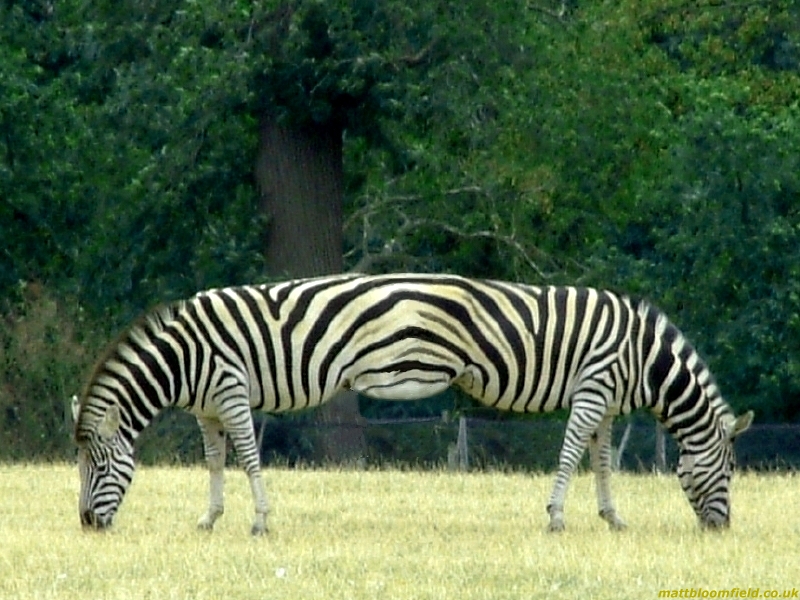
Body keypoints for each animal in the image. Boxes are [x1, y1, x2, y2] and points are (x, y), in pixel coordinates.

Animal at [73, 272, 753, 535]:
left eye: (96, 467)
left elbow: (595, 459)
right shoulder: (218, 403)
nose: (86, 524)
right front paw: (226, 519)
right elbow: (231, 461)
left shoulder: (601, 395)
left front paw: (601, 517)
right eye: (729, 472)